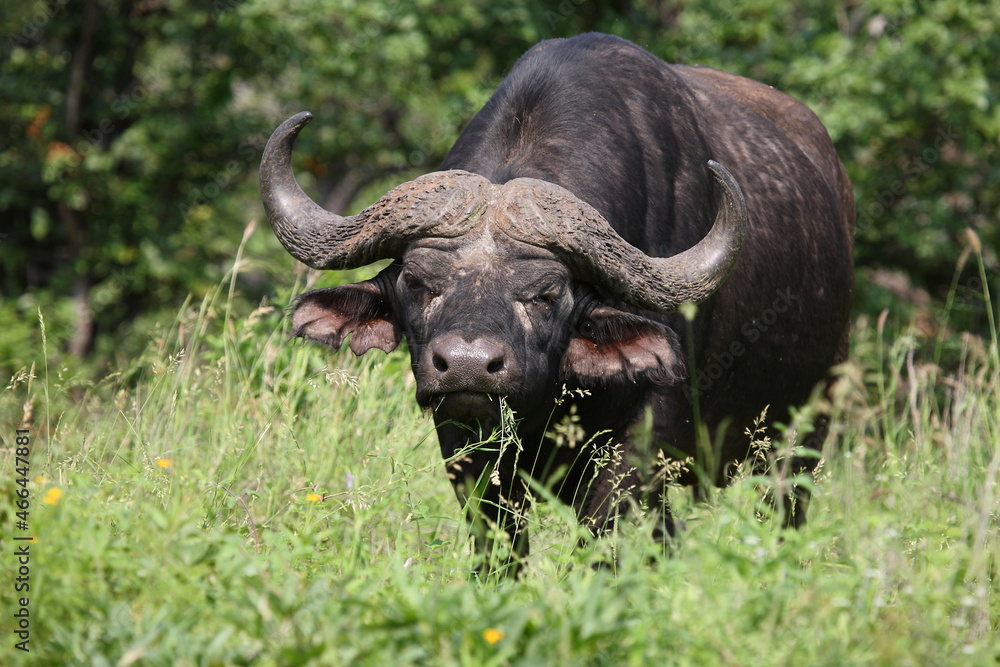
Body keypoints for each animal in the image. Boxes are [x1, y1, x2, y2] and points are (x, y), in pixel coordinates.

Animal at [260, 33, 854, 574]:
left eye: (547, 294)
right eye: (418, 282)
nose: (469, 366)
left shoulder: (641, 446)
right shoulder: (465, 442)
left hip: (801, 437)